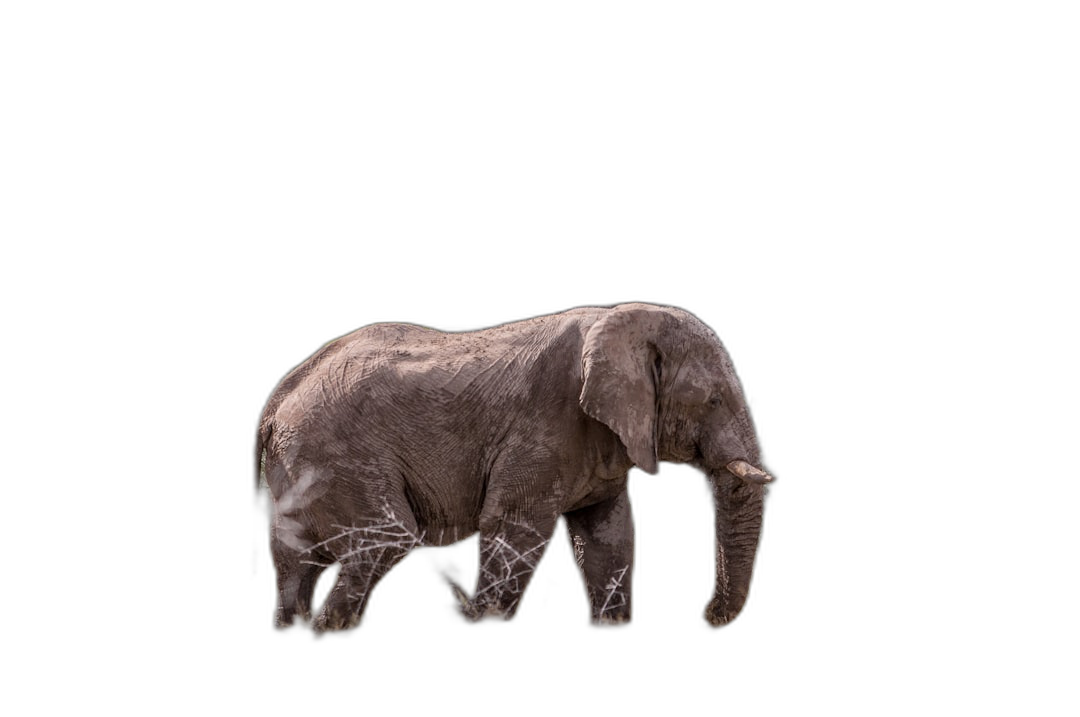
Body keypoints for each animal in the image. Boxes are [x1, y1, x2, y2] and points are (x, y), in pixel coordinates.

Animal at [255, 302, 773, 634]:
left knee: (296, 561)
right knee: (388, 538)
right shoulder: (543, 426)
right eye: (713, 400)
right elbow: (516, 529)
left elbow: (609, 539)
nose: (707, 615)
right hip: (334, 457)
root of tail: (277, 403)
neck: (621, 322)